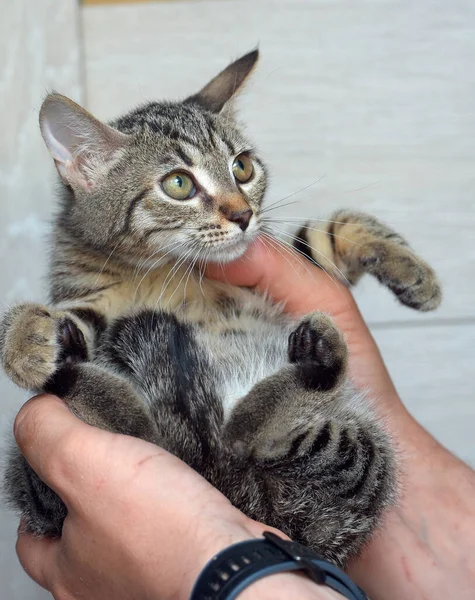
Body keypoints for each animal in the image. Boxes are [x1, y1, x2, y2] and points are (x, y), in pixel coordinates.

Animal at [0, 49, 442, 564]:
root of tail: (224, 478)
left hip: (363, 454)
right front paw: (24, 342)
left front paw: (414, 271)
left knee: (265, 443)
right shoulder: (89, 299)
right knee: (168, 435)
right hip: (35, 477)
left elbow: (330, 232)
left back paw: (315, 358)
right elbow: (68, 322)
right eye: (178, 183)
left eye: (243, 167)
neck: (171, 273)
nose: (244, 214)